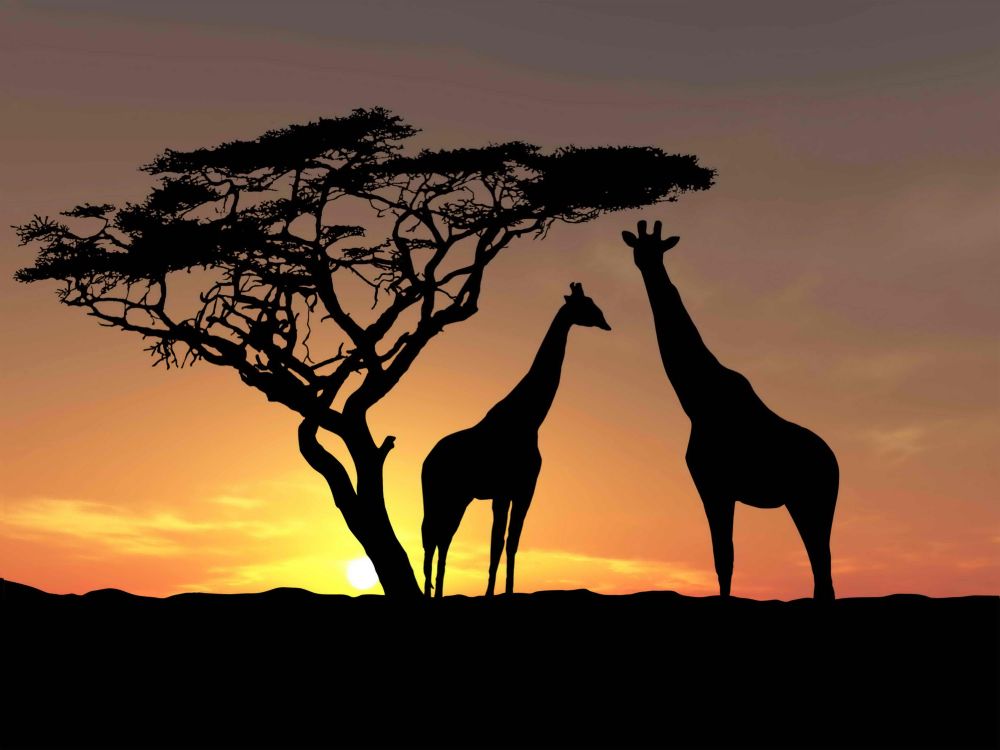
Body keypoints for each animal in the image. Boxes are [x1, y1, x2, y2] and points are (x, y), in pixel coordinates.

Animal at [421, 282, 611, 598]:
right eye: (586, 305)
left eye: (594, 304)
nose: (606, 323)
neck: (529, 419)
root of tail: (426, 461)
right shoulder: (506, 491)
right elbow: (498, 542)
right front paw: (490, 593)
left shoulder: (521, 489)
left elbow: (511, 542)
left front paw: (506, 591)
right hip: (442, 493)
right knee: (433, 535)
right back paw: (431, 592)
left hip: (457, 497)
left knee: (441, 536)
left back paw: (435, 591)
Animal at [622, 220, 839, 600]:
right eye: (639, 248)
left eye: (658, 249)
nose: (647, 266)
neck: (697, 401)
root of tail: (836, 464)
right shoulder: (714, 486)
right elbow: (723, 558)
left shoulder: (714, 484)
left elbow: (724, 557)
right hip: (804, 502)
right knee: (821, 570)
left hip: (813, 500)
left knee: (822, 567)